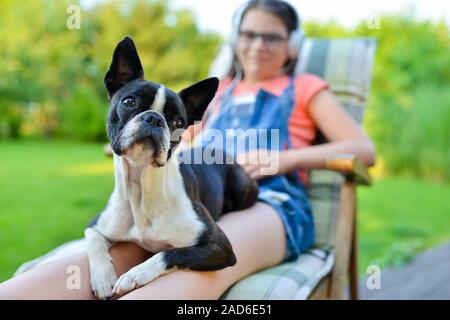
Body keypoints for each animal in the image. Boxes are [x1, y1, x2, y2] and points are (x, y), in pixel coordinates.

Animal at [85, 36, 260, 298]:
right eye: (129, 102)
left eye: (178, 122)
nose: (155, 119)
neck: (140, 188)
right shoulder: (96, 224)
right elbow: (94, 242)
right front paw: (103, 278)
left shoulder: (219, 246)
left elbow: (169, 252)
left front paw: (135, 273)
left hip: (240, 188)